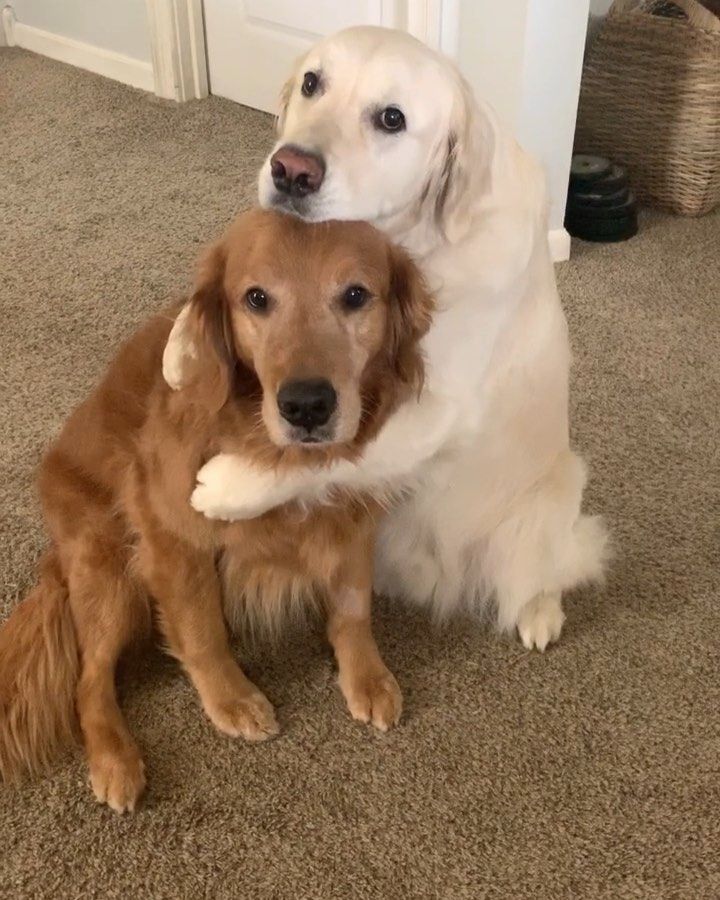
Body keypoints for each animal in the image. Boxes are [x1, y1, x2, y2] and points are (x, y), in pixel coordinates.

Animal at [0, 211, 434, 816]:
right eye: (256, 298)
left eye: (355, 295)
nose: (306, 406)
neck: (278, 458)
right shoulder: (169, 532)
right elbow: (201, 628)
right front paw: (231, 698)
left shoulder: (352, 515)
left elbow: (352, 606)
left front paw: (367, 675)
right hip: (111, 574)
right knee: (88, 681)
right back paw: (115, 760)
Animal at [165, 26, 608, 648]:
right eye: (312, 82)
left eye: (391, 119)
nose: (290, 170)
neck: (417, 239)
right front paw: (178, 349)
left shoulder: (437, 410)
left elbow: (333, 451)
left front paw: (229, 487)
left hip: (554, 495)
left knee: (547, 571)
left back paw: (539, 613)